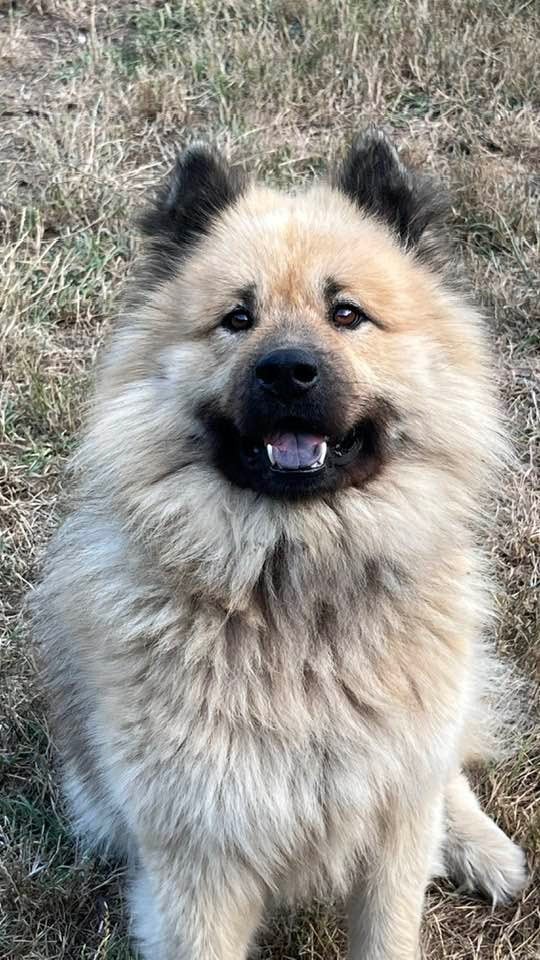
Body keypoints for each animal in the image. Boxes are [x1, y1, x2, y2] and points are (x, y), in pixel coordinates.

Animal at [32, 129, 527, 959]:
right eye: (237, 318)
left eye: (347, 313)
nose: (289, 372)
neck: (297, 594)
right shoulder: (199, 862)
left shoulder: (392, 833)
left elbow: (395, 910)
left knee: (448, 766)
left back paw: (485, 847)